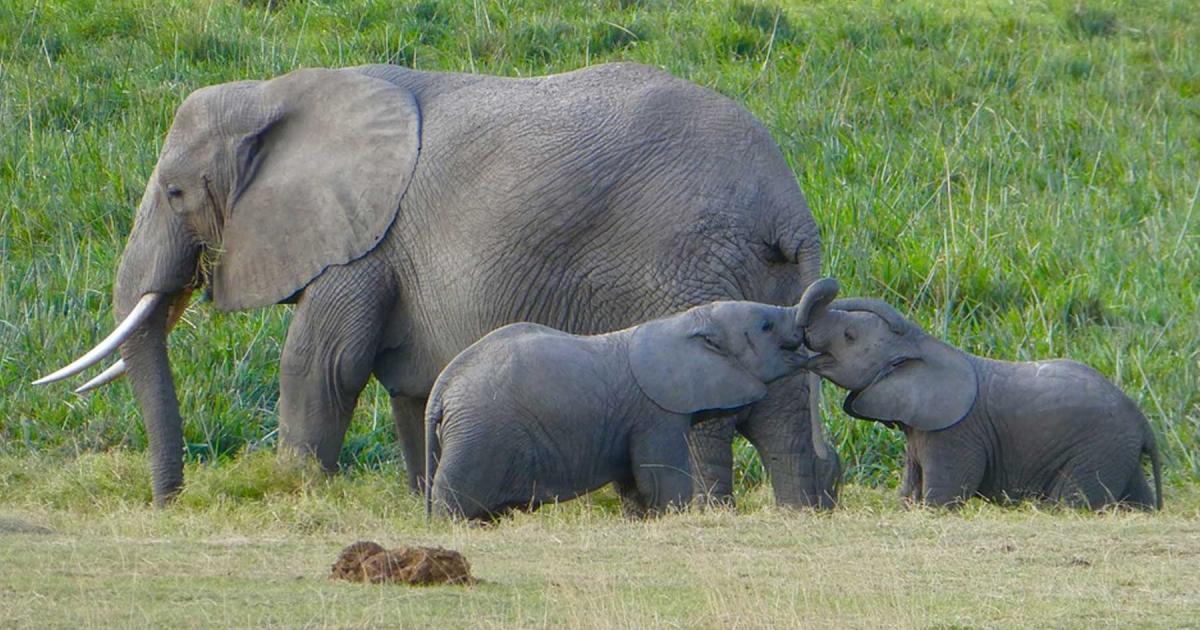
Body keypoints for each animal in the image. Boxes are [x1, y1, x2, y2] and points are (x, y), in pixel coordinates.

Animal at [422, 300, 806, 520]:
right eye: (766, 326)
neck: (681, 323)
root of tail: (441, 389)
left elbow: (635, 484)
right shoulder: (656, 413)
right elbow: (662, 479)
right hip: (478, 435)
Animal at [796, 277, 1161, 508]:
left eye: (849, 336)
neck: (924, 344)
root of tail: (1144, 426)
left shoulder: (956, 434)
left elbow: (943, 497)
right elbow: (909, 492)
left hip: (1097, 449)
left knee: (1068, 503)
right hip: (1118, 452)